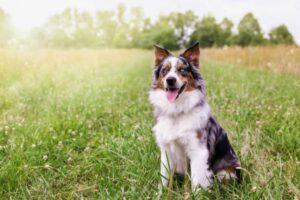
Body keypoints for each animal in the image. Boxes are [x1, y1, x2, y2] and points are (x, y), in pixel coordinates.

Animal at [149, 42, 240, 189]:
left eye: (182, 70)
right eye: (164, 71)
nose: (170, 80)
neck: (177, 111)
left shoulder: (198, 150)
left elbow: (197, 181)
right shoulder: (166, 150)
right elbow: (164, 177)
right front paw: (161, 192)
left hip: (226, 173)